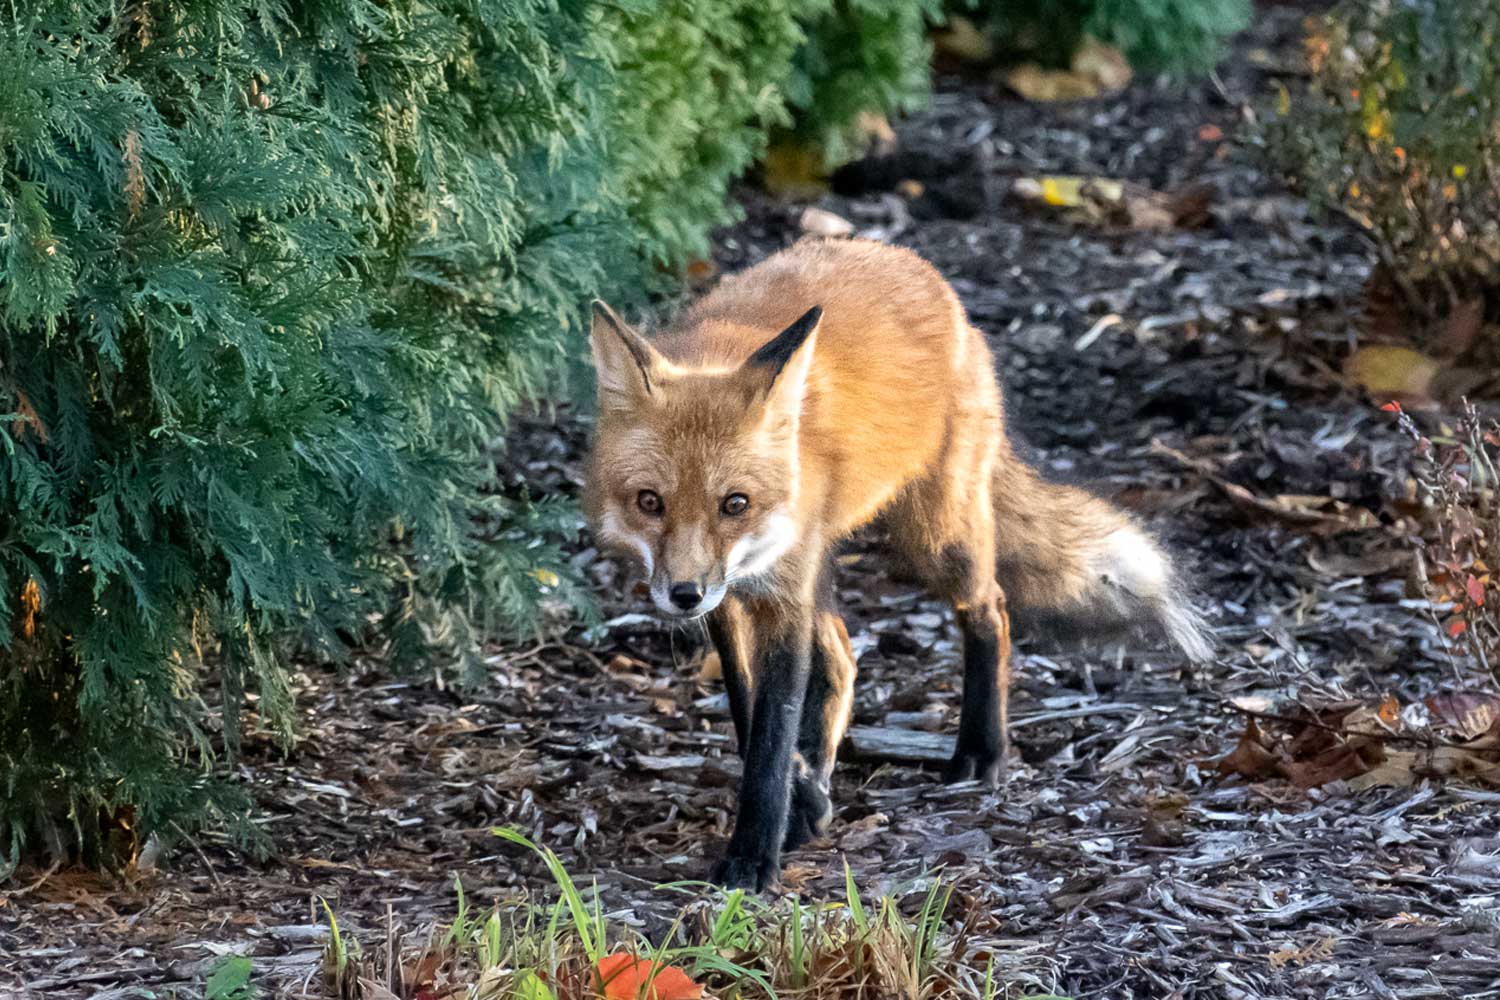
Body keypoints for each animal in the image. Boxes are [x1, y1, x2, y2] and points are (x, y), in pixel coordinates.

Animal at [582, 236, 1206, 893]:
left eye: (735, 504)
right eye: (650, 502)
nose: (683, 595)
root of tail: (903, 258)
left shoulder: (779, 594)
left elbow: (773, 736)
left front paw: (754, 856)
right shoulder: (736, 599)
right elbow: (750, 712)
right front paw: (801, 806)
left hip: (935, 538)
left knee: (992, 610)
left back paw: (981, 752)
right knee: (844, 656)